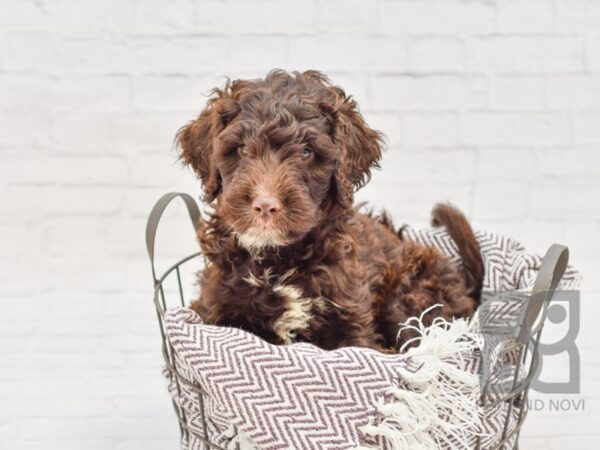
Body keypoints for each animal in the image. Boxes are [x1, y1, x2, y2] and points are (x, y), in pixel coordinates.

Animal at [175, 69, 482, 352]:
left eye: (306, 153)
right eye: (241, 149)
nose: (265, 205)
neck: (277, 261)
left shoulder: (352, 322)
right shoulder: (217, 308)